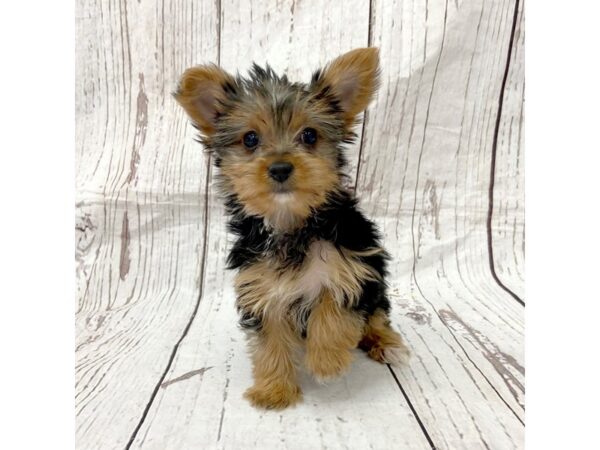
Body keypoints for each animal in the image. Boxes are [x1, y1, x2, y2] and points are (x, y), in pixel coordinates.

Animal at [173, 47, 408, 410]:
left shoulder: (353, 266)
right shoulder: (262, 287)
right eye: (250, 139)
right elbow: (270, 340)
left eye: (310, 135)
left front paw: (326, 363)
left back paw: (385, 343)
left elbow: (333, 306)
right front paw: (273, 391)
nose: (281, 168)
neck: (291, 223)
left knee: (377, 315)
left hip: (377, 287)